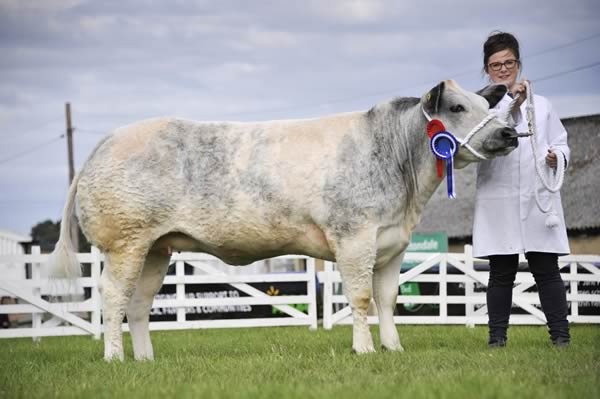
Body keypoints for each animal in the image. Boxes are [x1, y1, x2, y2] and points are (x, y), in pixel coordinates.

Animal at [48, 79, 516, 360]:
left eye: (484, 104)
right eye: (457, 106)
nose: (509, 133)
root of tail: (110, 138)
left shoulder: (392, 243)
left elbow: (386, 299)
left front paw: (393, 348)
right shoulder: (354, 237)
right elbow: (361, 298)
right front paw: (364, 350)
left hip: (156, 247)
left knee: (140, 303)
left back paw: (145, 359)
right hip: (124, 242)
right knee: (113, 298)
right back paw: (115, 357)